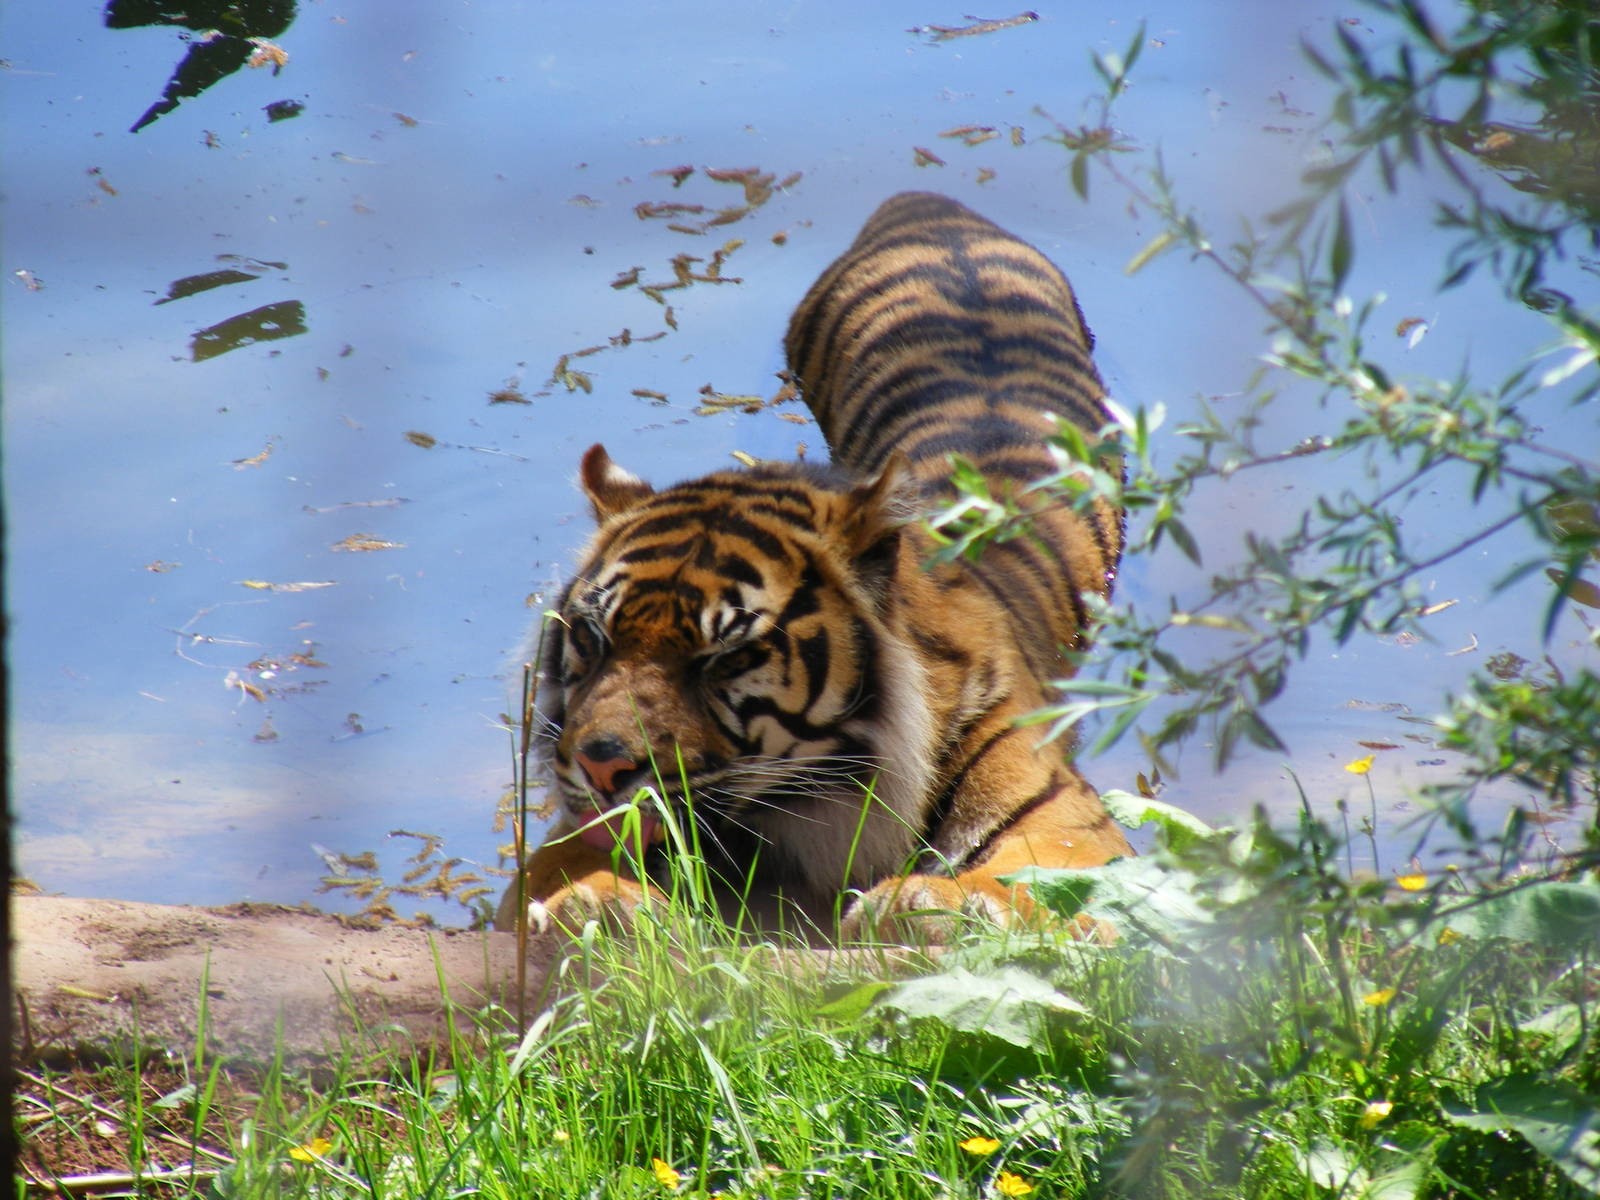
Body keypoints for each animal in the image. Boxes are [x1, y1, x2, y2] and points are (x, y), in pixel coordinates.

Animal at [496, 190, 1132, 943]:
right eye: (594, 640)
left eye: (725, 657)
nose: (601, 767)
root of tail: (929, 205)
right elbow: (558, 869)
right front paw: (596, 905)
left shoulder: (1066, 818)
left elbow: (1037, 876)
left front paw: (935, 905)